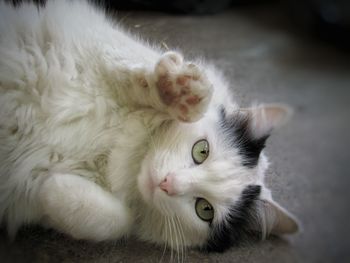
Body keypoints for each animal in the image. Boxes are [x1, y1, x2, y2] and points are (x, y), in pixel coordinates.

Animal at [0, 0, 298, 254]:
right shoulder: (96, 40)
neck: (125, 153)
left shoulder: (28, 201)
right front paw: (178, 92)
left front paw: (53, 187)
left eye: (204, 210)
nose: (166, 183)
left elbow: (119, 221)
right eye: (201, 151)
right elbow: (130, 68)